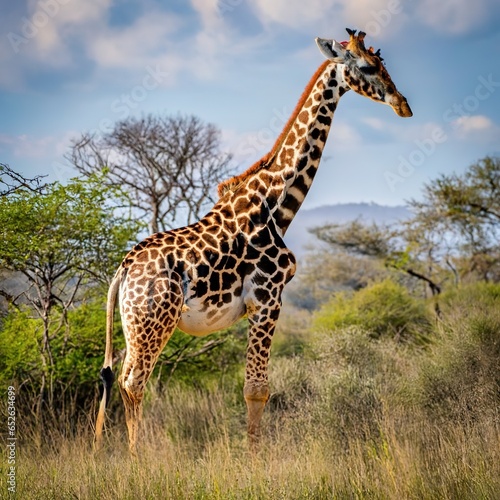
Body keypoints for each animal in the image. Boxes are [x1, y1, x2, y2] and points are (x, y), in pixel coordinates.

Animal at [95, 29, 412, 456]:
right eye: (365, 66)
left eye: (382, 63)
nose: (402, 105)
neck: (275, 203)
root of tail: (124, 268)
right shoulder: (268, 297)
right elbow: (256, 389)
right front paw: (254, 461)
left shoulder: (261, 303)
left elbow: (253, 388)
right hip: (154, 320)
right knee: (134, 381)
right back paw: (137, 458)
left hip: (134, 324)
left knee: (116, 377)